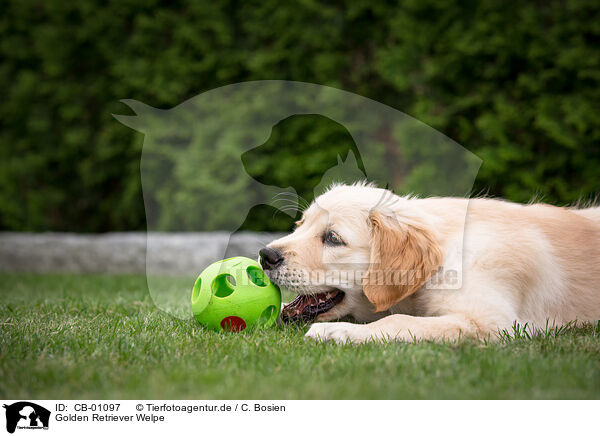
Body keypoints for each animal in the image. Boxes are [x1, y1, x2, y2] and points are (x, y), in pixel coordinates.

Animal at [258, 182, 600, 342]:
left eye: (332, 238)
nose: (265, 256)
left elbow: (398, 320)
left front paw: (338, 332)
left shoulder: (492, 322)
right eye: (300, 225)